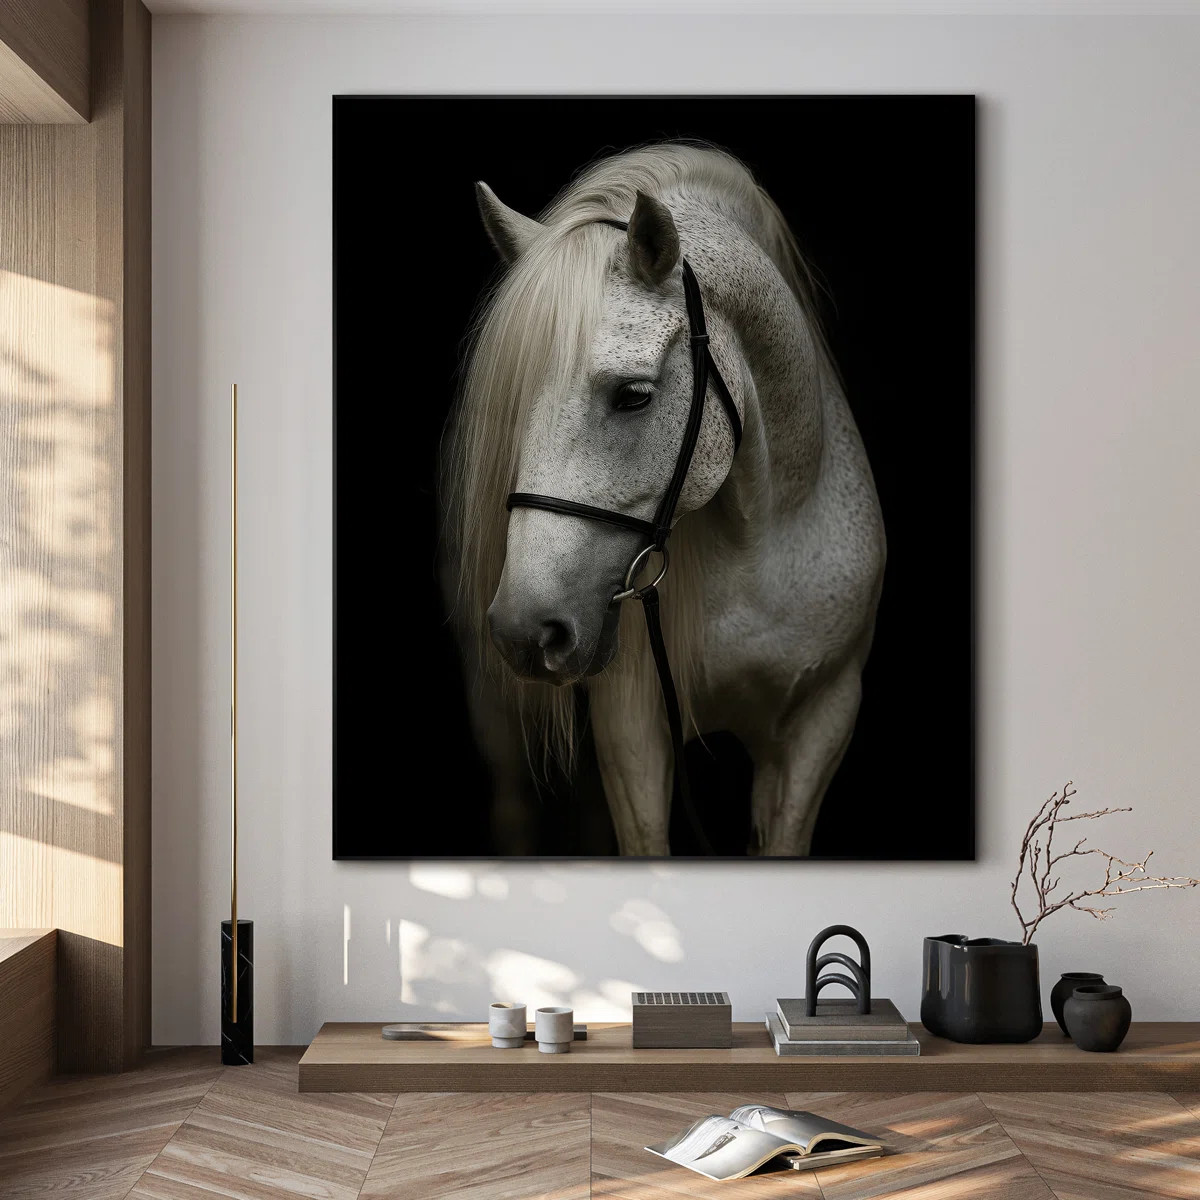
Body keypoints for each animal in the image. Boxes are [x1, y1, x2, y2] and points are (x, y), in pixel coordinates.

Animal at [443, 143, 885, 856]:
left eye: (633, 396)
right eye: (512, 408)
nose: (524, 629)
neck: (755, 549)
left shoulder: (821, 722)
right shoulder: (631, 725)